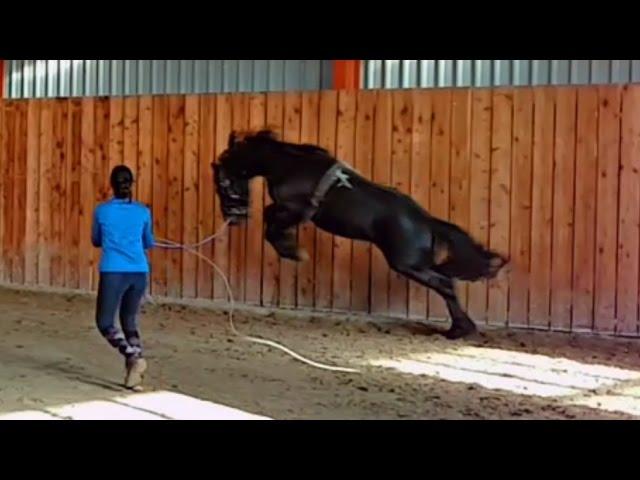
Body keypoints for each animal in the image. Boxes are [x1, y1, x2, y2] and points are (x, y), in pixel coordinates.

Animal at [212, 129, 508, 340]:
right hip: (416, 264)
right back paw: (461, 328)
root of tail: (426, 221)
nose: (233, 217)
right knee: (447, 283)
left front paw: (292, 251)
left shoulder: (296, 208)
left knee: (445, 284)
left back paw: (459, 330)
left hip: (407, 264)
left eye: (223, 184)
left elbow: (271, 221)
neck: (287, 164)